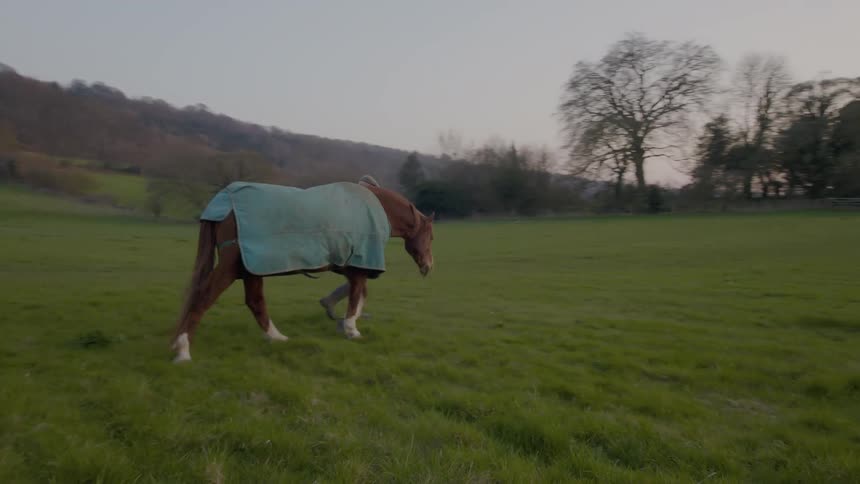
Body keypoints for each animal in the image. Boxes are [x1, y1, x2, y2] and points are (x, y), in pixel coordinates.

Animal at [170, 180, 435, 362]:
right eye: (431, 236)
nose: (428, 266)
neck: (374, 209)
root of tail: (224, 200)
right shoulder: (360, 266)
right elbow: (356, 297)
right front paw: (351, 328)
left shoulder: (349, 266)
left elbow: (357, 295)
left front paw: (339, 317)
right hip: (232, 266)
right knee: (203, 297)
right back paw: (183, 350)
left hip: (250, 269)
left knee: (255, 302)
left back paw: (276, 337)